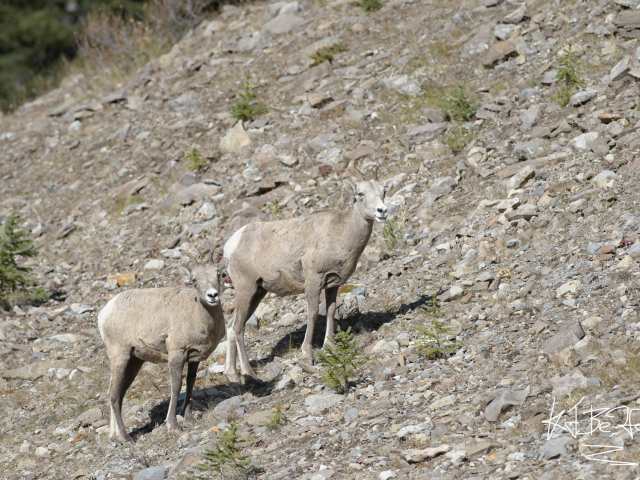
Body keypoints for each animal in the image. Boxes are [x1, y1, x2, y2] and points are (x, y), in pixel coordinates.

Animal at [95, 253, 225, 444]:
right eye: (194, 280)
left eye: (218, 275)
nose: (212, 295)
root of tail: (104, 313)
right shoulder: (176, 355)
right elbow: (176, 386)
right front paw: (173, 426)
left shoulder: (194, 358)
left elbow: (190, 383)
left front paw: (189, 420)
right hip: (120, 357)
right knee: (113, 395)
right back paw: (126, 438)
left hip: (134, 363)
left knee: (119, 394)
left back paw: (116, 436)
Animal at [222, 165, 388, 382]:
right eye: (360, 194)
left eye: (383, 192)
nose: (382, 211)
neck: (341, 233)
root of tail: (230, 245)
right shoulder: (313, 279)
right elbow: (313, 313)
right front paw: (307, 353)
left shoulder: (333, 284)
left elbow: (331, 311)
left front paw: (330, 345)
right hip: (246, 289)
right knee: (237, 328)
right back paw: (249, 373)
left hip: (257, 292)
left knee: (230, 327)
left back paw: (232, 375)